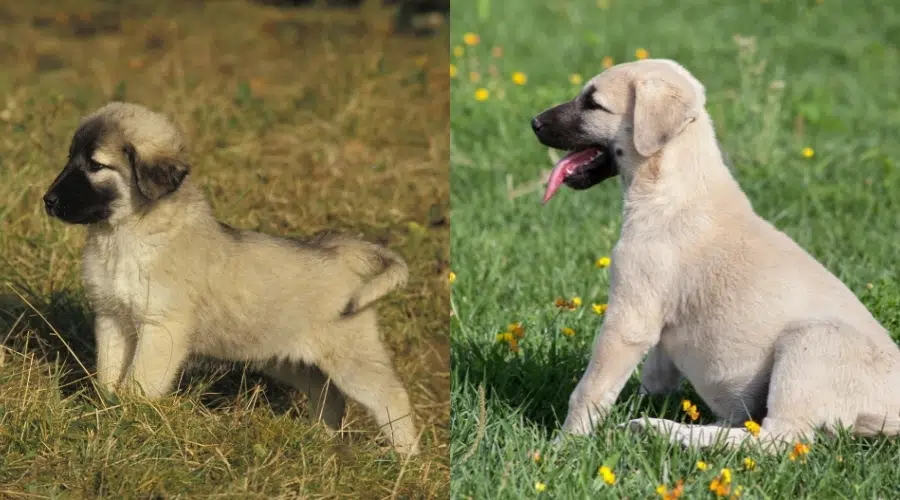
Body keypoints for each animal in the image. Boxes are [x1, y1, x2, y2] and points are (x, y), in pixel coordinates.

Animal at [42, 101, 422, 454]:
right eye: (70, 159)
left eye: (96, 165)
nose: (48, 200)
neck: (126, 234)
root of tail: (339, 251)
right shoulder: (113, 319)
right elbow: (108, 373)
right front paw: (104, 410)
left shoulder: (160, 328)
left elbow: (138, 380)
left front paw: (125, 418)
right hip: (286, 356)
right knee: (329, 395)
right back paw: (318, 440)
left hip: (350, 356)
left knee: (391, 395)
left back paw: (406, 459)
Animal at [532, 59, 900, 454]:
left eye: (593, 103)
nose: (534, 122)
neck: (676, 186)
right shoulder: (659, 319)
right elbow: (655, 375)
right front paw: (639, 402)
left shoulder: (630, 317)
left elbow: (590, 389)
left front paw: (563, 445)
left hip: (811, 344)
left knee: (777, 438)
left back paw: (664, 430)